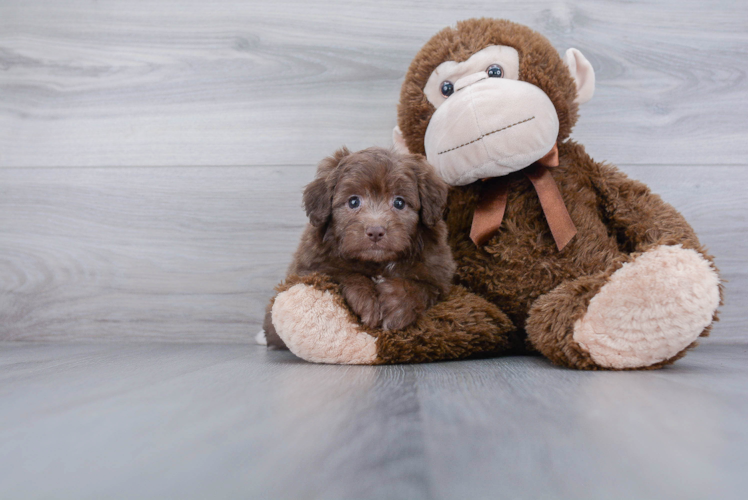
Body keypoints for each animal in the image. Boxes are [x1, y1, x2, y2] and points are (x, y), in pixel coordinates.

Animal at [262, 146, 452, 348]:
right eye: (353, 202)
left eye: (399, 202)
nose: (375, 231)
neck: (377, 263)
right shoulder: (312, 266)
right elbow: (344, 274)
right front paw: (366, 301)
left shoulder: (438, 277)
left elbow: (420, 287)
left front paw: (396, 306)